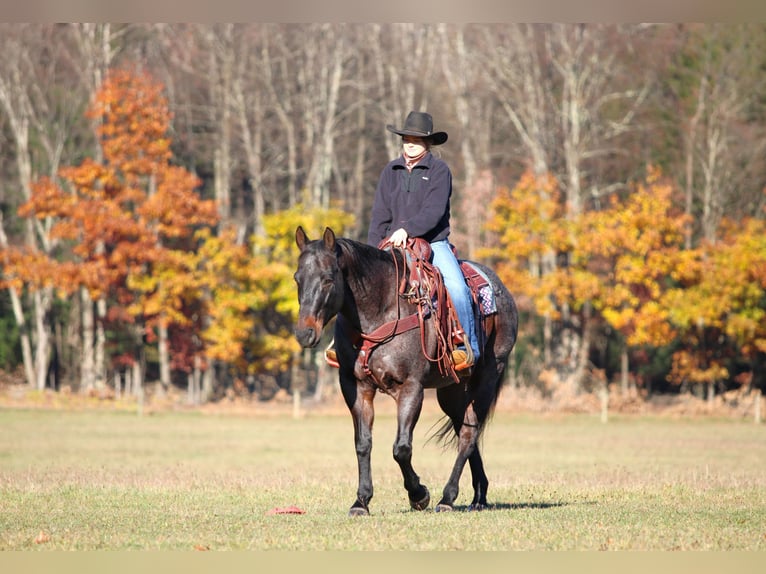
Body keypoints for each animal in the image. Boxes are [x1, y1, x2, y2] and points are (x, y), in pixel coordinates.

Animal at [293, 226, 518, 515]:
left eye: (328, 279)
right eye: (297, 278)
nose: (304, 333)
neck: (382, 309)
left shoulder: (411, 387)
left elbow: (401, 448)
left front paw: (419, 494)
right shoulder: (356, 387)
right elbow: (362, 443)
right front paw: (361, 501)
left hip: (488, 377)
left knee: (469, 435)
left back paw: (447, 498)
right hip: (453, 390)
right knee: (466, 430)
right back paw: (479, 496)